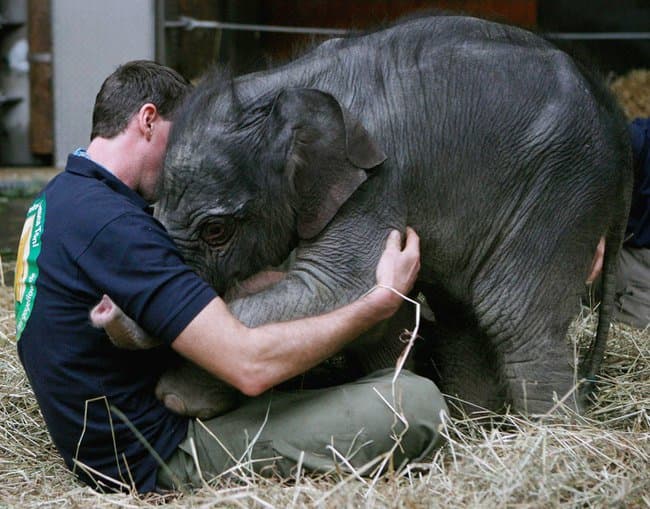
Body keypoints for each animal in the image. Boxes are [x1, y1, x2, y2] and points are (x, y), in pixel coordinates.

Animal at [96, 15, 633, 417]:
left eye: (215, 230)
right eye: (150, 208)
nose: (104, 307)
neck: (286, 88)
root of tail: (616, 117)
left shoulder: (378, 182)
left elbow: (333, 289)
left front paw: (177, 398)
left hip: (563, 184)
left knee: (514, 317)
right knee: (464, 316)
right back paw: (471, 426)